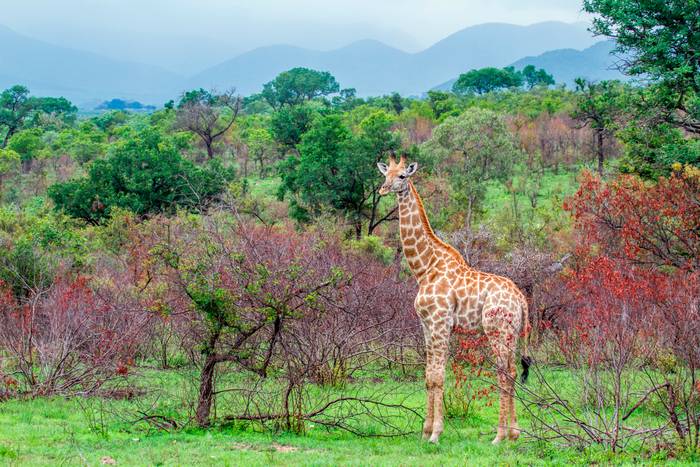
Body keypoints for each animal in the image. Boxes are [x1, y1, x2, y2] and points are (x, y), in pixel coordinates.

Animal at [377, 154, 531, 444]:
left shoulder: (440, 324)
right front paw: (425, 431)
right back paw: (514, 434)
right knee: (513, 370)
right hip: (513, 333)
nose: (382, 189)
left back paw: (499, 436)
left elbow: (438, 376)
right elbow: (428, 376)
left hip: (495, 330)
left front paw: (436, 433)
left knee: (503, 372)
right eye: (385, 174)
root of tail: (521, 299)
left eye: (402, 176)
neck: (425, 268)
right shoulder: (426, 326)